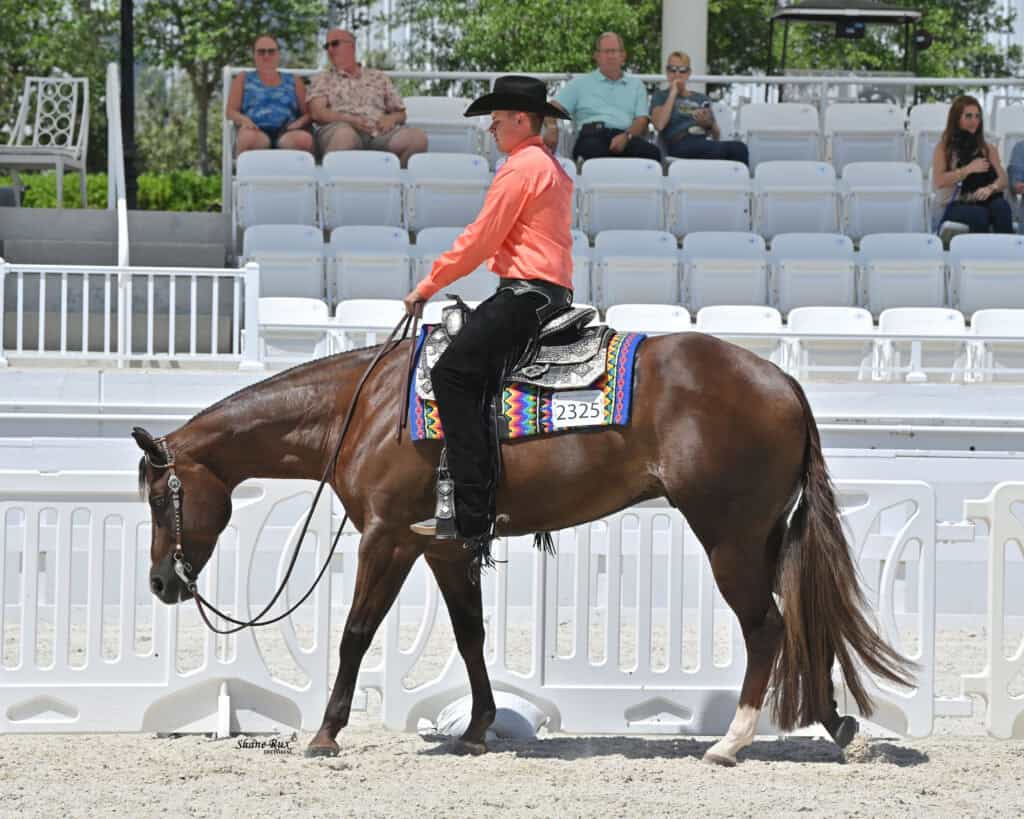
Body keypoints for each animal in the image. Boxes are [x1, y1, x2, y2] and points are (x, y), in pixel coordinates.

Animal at [132, 329, 913, 765]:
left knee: (768, 627)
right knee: (802, 625)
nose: (162, 584)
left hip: (730, 536)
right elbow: (470, 634)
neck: (365, 409)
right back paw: (839, 725)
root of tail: (785, 384)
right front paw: (478, 728)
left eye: (157, 496)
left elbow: (356, 632)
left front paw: (325, 733)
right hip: (765, 536)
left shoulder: (387, 538)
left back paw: (731, 743)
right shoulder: (444, 548)